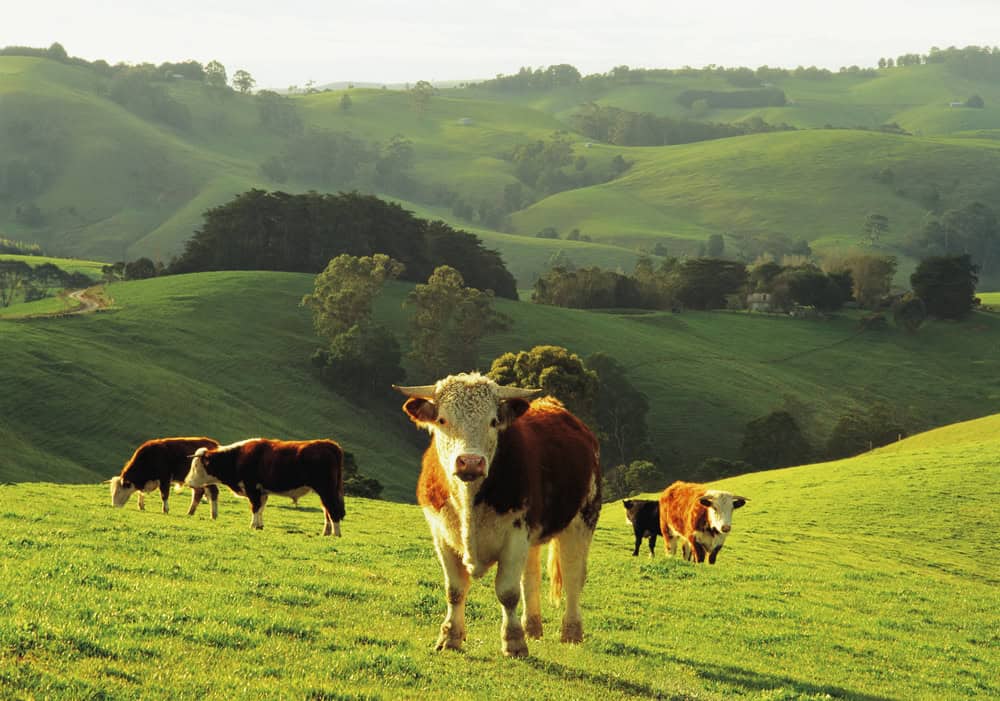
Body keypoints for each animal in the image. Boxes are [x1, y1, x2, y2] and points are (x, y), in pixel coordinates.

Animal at [184, 438, 345, 536]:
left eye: (196, 465)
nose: (188, 482)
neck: (237, 457)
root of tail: (328, 444)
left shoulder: (252, 488)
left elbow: (255, 508)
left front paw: (253, 525)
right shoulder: (262, 491)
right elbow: (261, 508)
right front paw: (259, 526)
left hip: (327, 489)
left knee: (333, 510)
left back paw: (336, 534)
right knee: (327, 510)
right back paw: (326, 532)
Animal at [395, 373, 602, 658]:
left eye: (493, 421)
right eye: (442, 420)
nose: (470, 462)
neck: (470, 502)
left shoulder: (515, 536)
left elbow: (508, 592)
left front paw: (514, 642)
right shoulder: (442, 535)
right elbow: (455, 590)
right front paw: (450, 637)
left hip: (582, 519)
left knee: (573, 575)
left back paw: (571, 632)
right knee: (531, 577)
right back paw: (532, 627)